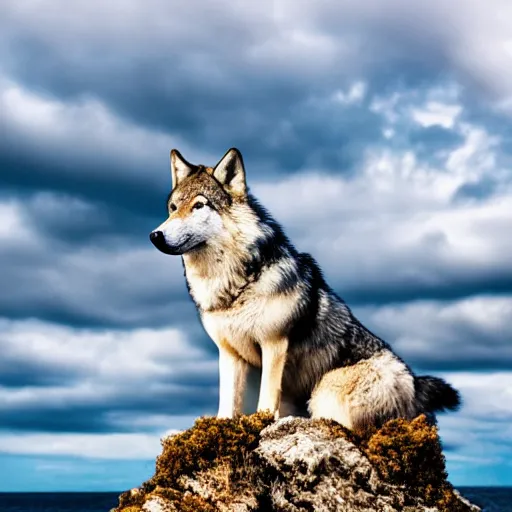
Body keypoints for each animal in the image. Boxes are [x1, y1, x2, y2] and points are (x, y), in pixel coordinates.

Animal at [149, 146, 460, 434]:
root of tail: (415, 386)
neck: (237, 284)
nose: (155, 235)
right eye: (173, 208)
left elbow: (265, 402)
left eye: (199, 206)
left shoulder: (273, 344)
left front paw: (263, 425)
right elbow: (227, 405)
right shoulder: (229, 353)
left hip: (326, 390)